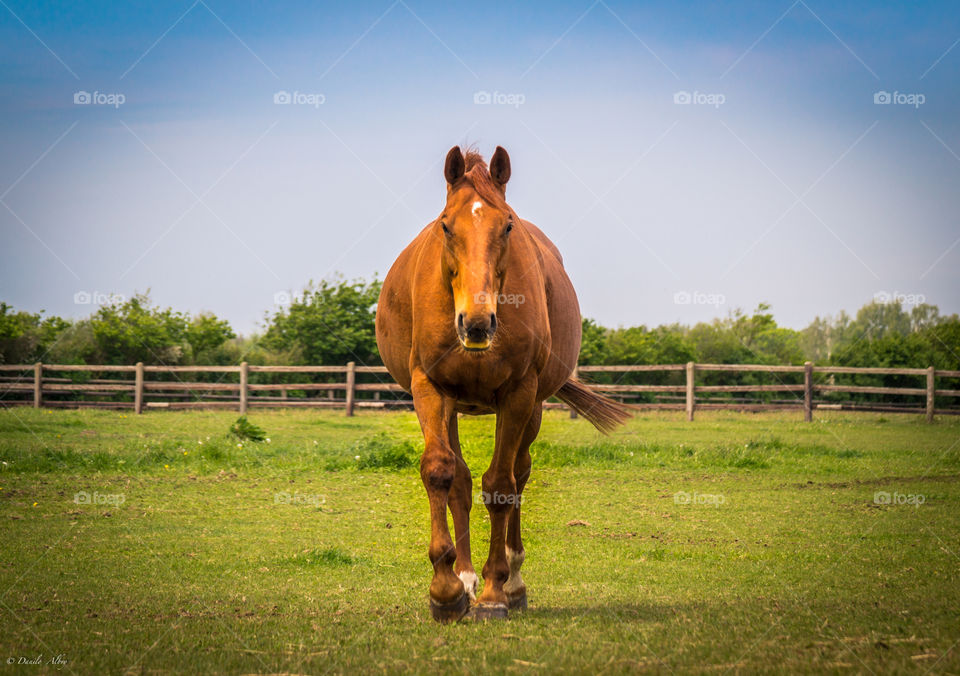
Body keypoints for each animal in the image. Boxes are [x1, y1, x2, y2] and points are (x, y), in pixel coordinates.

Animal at [375, 145, 631, 622]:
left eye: (507, 225)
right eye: (445, 225)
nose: (476, 323)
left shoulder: (518, 394)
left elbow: (500, 486)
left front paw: (496, 592)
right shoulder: (429, 388)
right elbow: (440, 472)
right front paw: (446, 590)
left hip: (531, 409)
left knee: (519, 474)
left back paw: (512, 581)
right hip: (453, 405)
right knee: (459, 480)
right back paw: (466, 579)